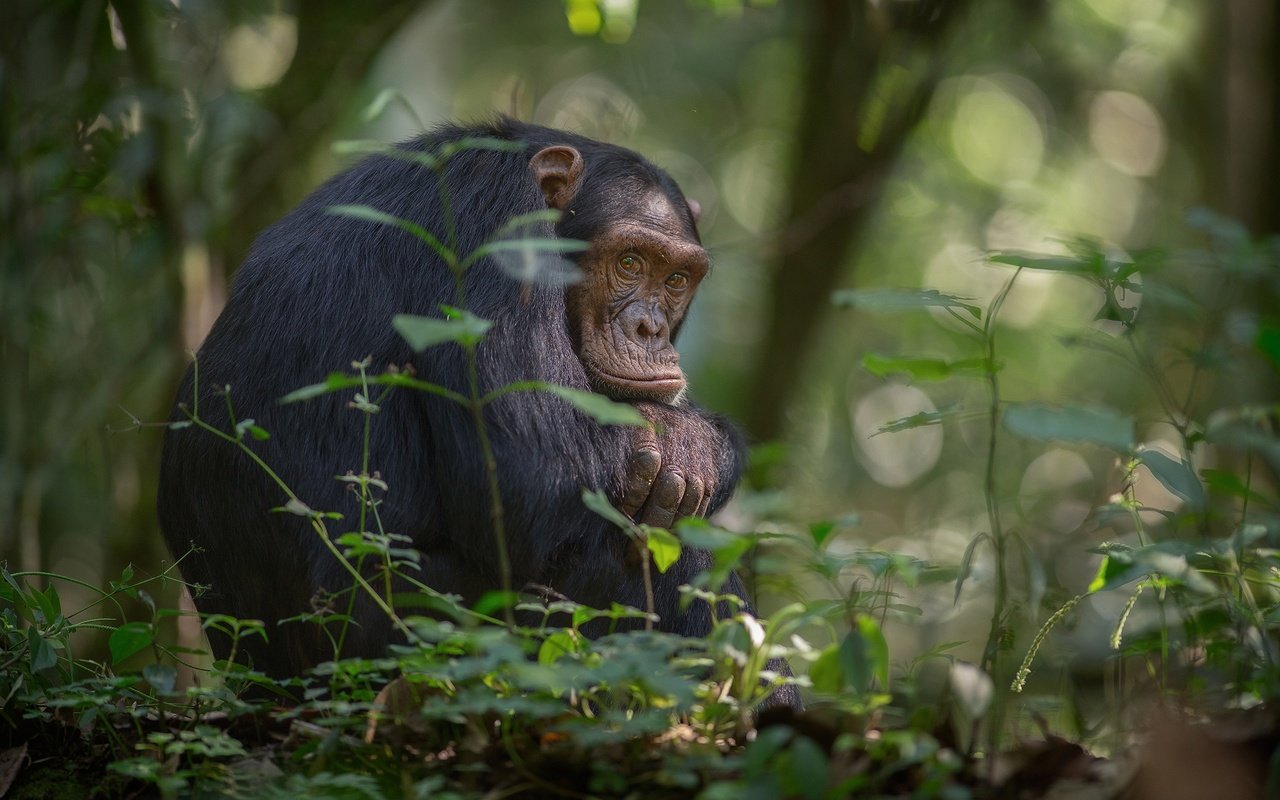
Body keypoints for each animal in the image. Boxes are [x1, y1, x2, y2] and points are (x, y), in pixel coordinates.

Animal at [158, 117, 793, 706]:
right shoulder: (490, 220)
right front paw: (691, 445)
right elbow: (533, 472)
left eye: (677, 278)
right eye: (632, 262)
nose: (651, 328)